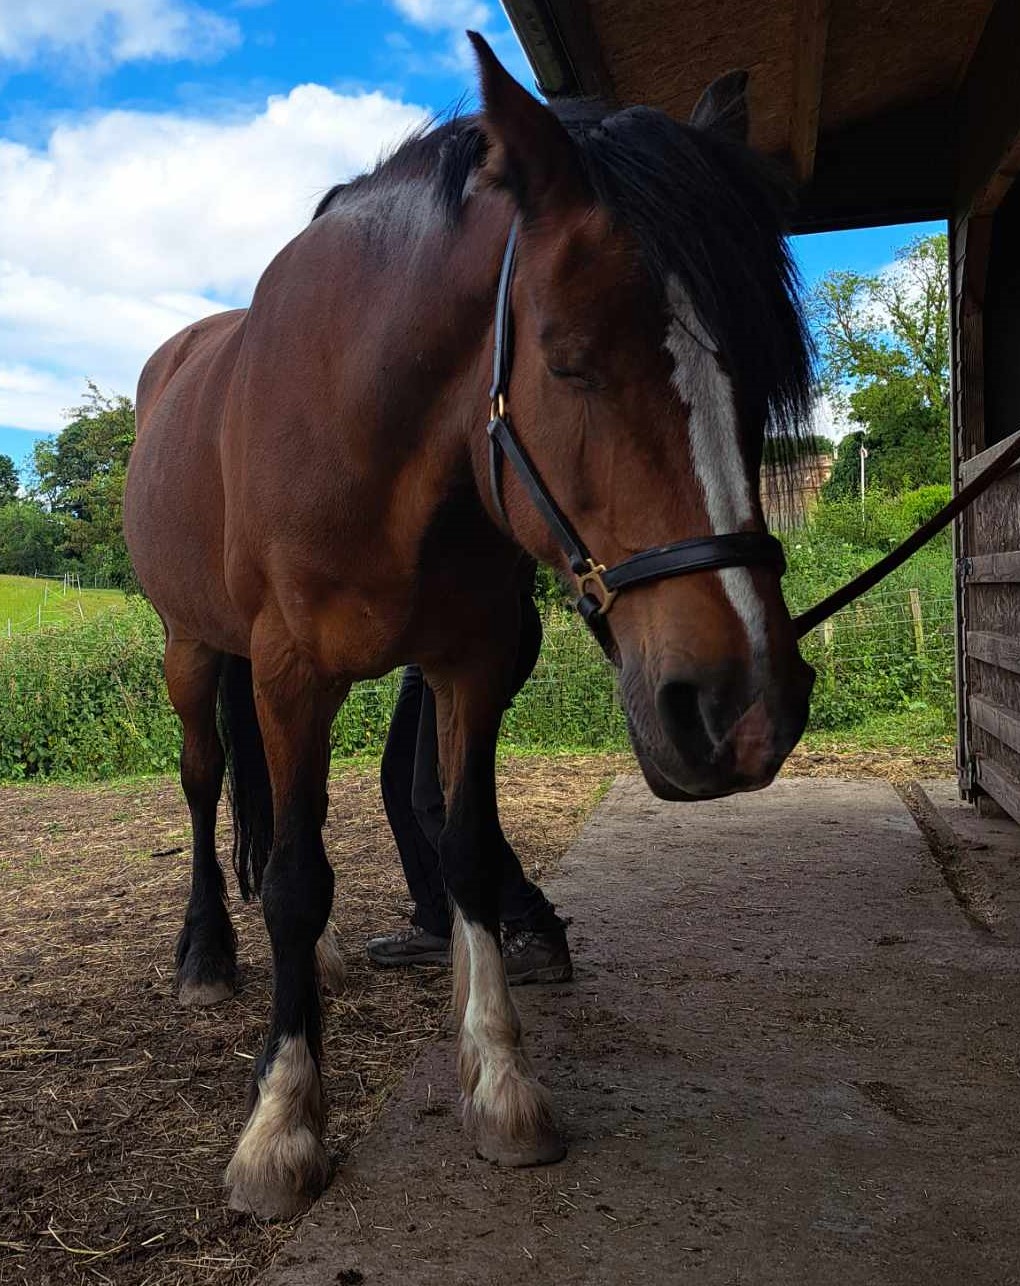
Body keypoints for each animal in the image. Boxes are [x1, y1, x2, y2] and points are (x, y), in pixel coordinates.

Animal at [123, 34, 815, 1220]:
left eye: (760, 375)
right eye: (569, 359)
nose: (745, 711)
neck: (363, 420)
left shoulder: (475, 664)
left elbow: (464, 849)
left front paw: (498, 1079)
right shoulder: (288, 670)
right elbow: (293, 879)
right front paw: (282, 1123)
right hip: (194, 648)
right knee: (209, 784)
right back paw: (206, 952)